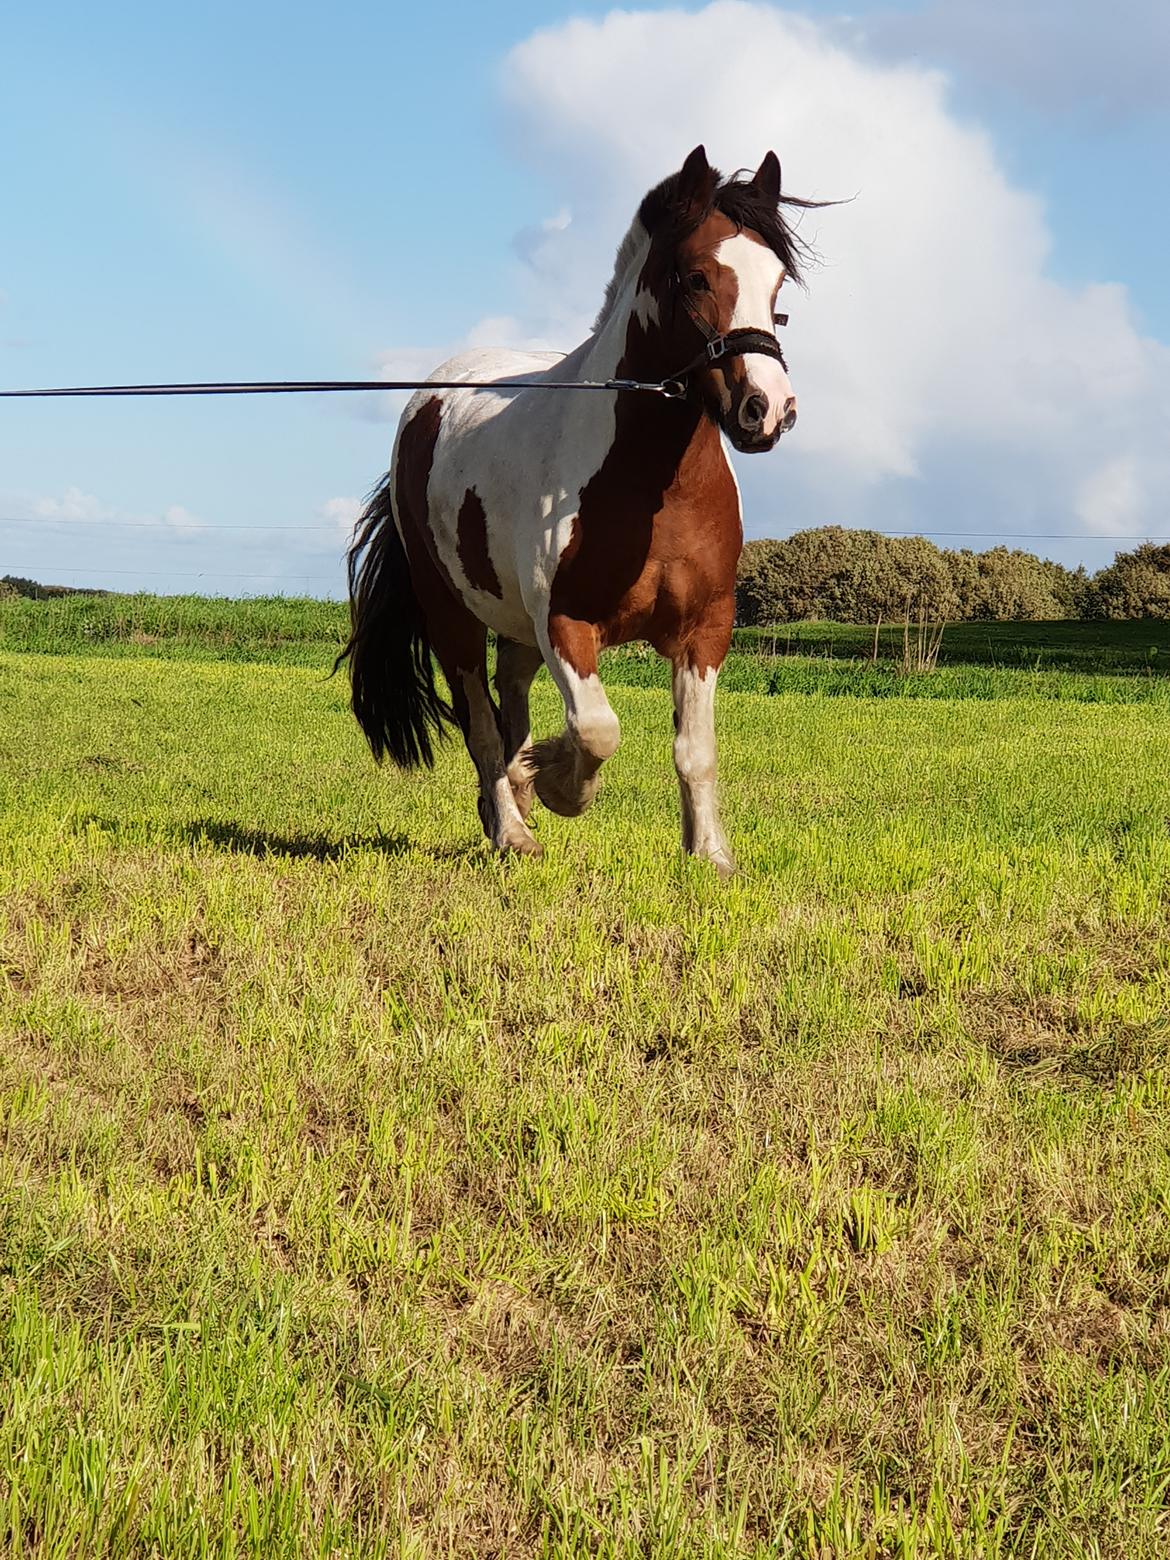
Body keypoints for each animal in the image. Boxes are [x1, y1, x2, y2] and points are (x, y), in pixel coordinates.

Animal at [338, 145, 817, 879]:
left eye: (777, 286)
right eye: (696, 276)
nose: (769, 410)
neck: (652, 492)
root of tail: (427, 400)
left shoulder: (706, 630)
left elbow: (693, 750)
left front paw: (709, 855)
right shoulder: (566, 622)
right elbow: (597, 731)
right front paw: (558, 785)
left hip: (516, 625)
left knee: (509, 692)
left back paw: (515, 796)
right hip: (453, 617)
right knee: (481, 722)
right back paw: (513, 828)